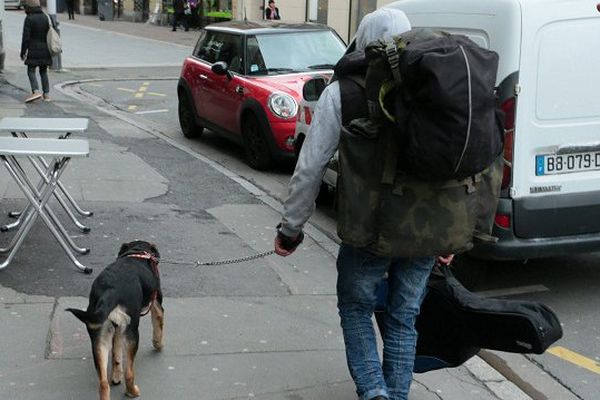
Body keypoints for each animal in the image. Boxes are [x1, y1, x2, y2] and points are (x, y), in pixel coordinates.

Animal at [67, 241, 164, 400]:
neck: (136, 253)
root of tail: (110, 290)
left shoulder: (117, 328)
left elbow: (116, 355)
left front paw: (116, 376)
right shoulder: (156, 305)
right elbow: (158, 327)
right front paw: (158, 345)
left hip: (99, 337)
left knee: (103, 383)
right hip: (132, 332)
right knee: (129, 373)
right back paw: (132, 392)